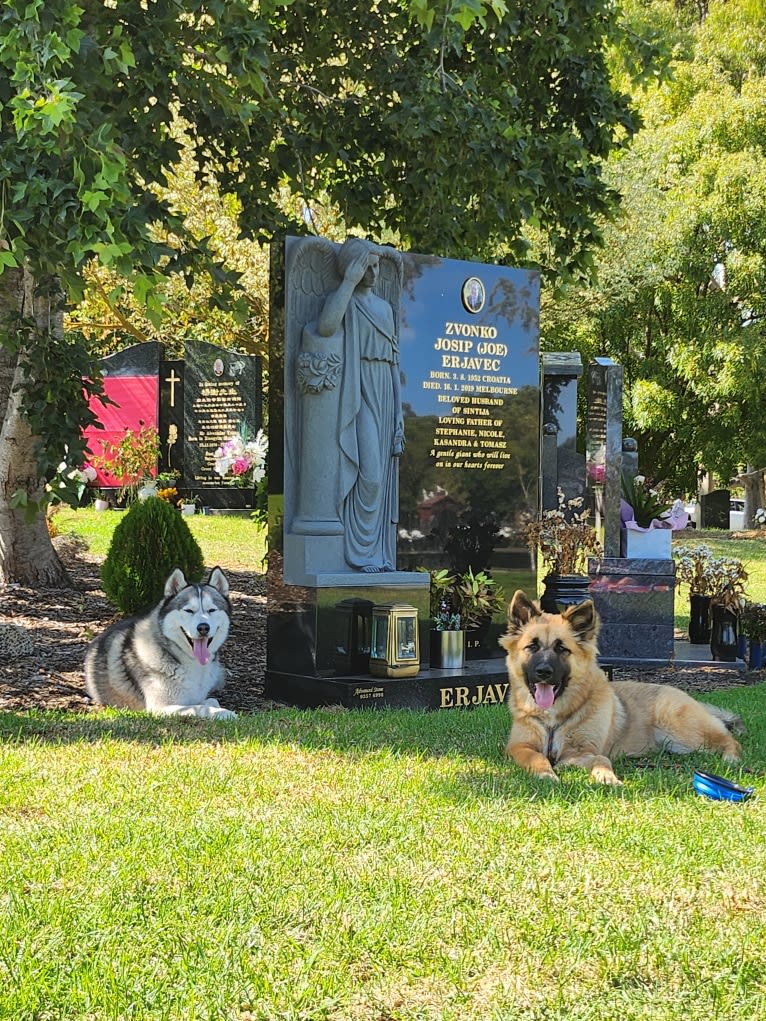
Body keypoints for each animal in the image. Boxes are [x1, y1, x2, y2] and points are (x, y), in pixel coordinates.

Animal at [83, 567, 233, 718]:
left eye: (211, 610)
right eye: (189, 610)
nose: (203, 627)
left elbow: (212, 701)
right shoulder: (160, 708)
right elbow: (199, 708)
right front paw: (224, 713)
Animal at [498, 588, 743, 784]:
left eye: (561, 649)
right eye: (532, 646)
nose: (544, 672)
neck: (552, 720)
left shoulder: (583, 750)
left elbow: (601, 758)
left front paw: (606, 776)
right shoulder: (519, 747)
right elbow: (537, 756)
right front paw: (546, 773)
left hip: (683, 731)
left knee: (730, 740)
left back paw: (730, 758)